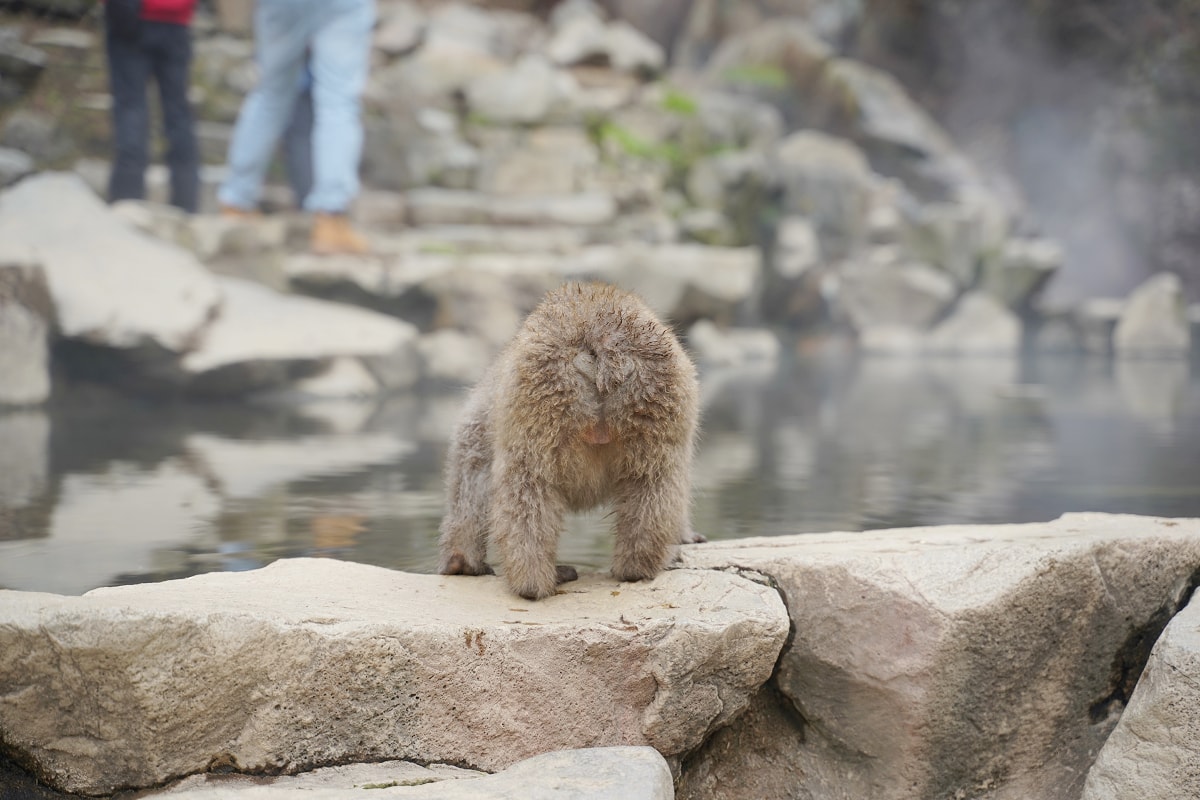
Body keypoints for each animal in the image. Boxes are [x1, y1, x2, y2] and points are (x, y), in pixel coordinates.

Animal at [437, 281, 702, 601]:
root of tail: (602, 337)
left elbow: (470, 449)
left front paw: (463, 562)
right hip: (653, 394)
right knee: (655, 478)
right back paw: (637, 568)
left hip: (542, 394)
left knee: (526, 483)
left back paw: (531, 583)